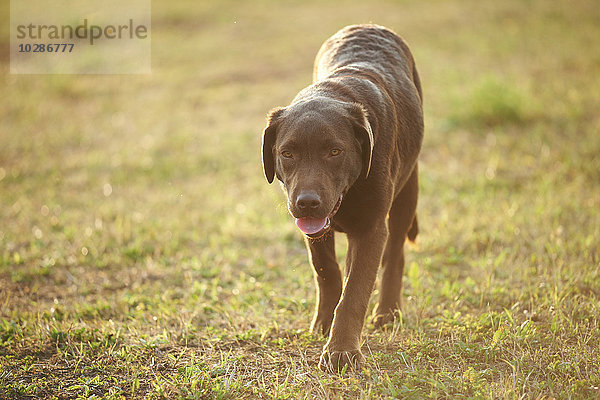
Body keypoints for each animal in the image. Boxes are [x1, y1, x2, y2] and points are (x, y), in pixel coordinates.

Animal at [262, 25, 422, 372]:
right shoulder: (314, 230)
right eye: (287, 153)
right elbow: (327, 271)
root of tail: (369, 25)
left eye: (335, 151)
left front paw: (342, 351)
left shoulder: (372, 227)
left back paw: (388, 312)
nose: (307, 201)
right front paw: (323, 324)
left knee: (395, 252)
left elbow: (355, 292)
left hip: (408, 190)